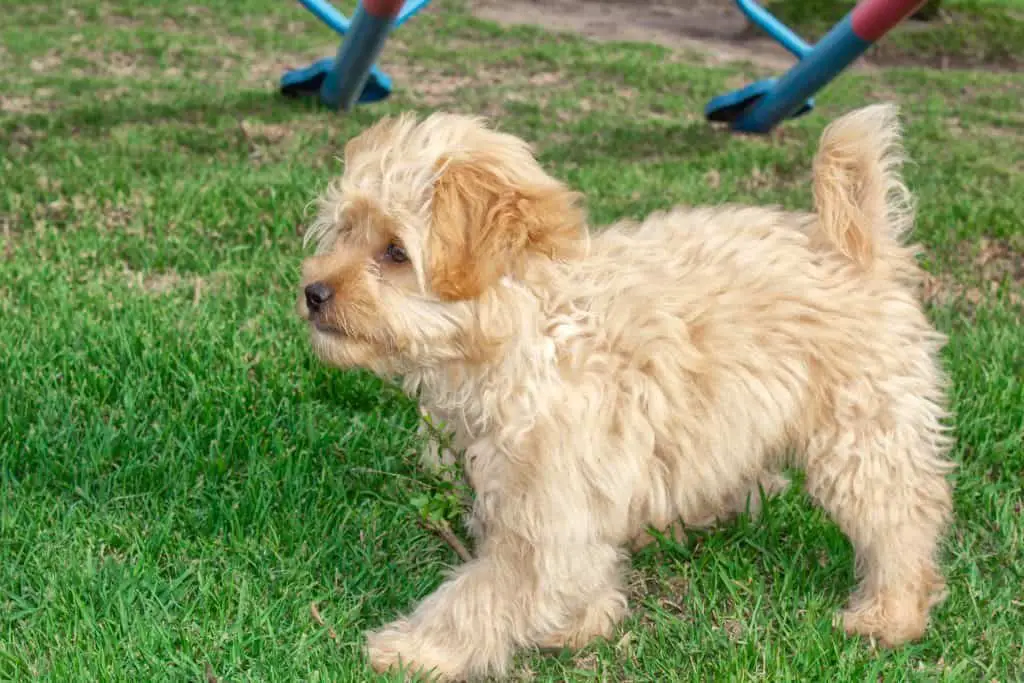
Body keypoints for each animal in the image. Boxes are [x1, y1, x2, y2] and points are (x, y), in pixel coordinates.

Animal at [296, 104, 950, 679]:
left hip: (863, 431)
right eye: (345, 231)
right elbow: (575, 568)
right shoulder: (555, 494)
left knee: (901, 518)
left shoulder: (547, 504)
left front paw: (414, 650)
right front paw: (584, 622)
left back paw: (889, 616)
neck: (535, 326)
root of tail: (855, 246)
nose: (313, 291)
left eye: (395, 252)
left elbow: (485, 592)